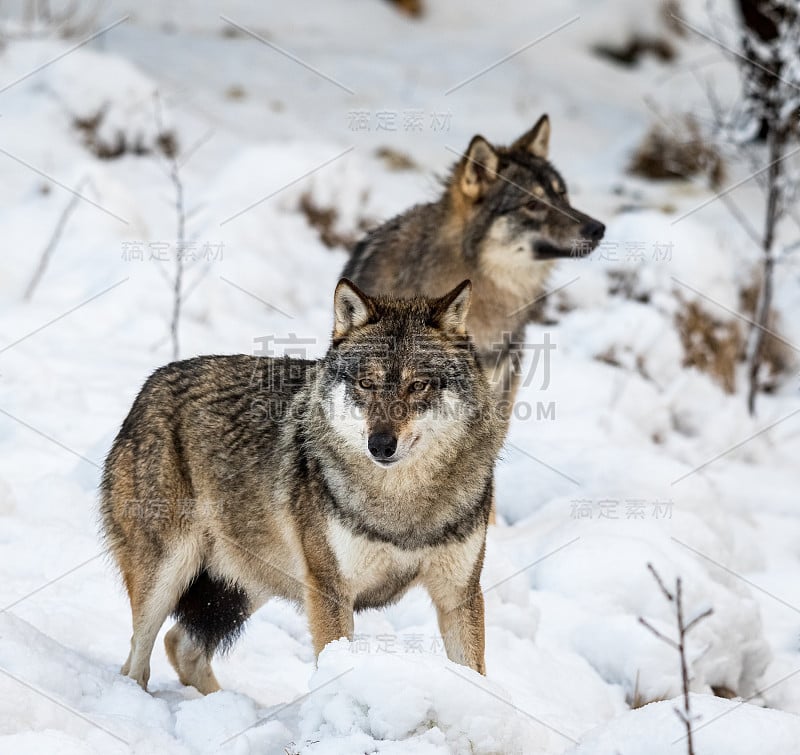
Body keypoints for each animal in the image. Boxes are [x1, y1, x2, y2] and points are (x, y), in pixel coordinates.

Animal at [98, 278, 500, 692]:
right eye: (366, 383)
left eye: (418, 385)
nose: (381, 445)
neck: (402, 505)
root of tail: (151, 384)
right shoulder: (329, 590)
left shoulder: (459, 593)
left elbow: (475, 674)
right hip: (168, 573)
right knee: (137, 657)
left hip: (250, 582)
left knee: (179, 644)